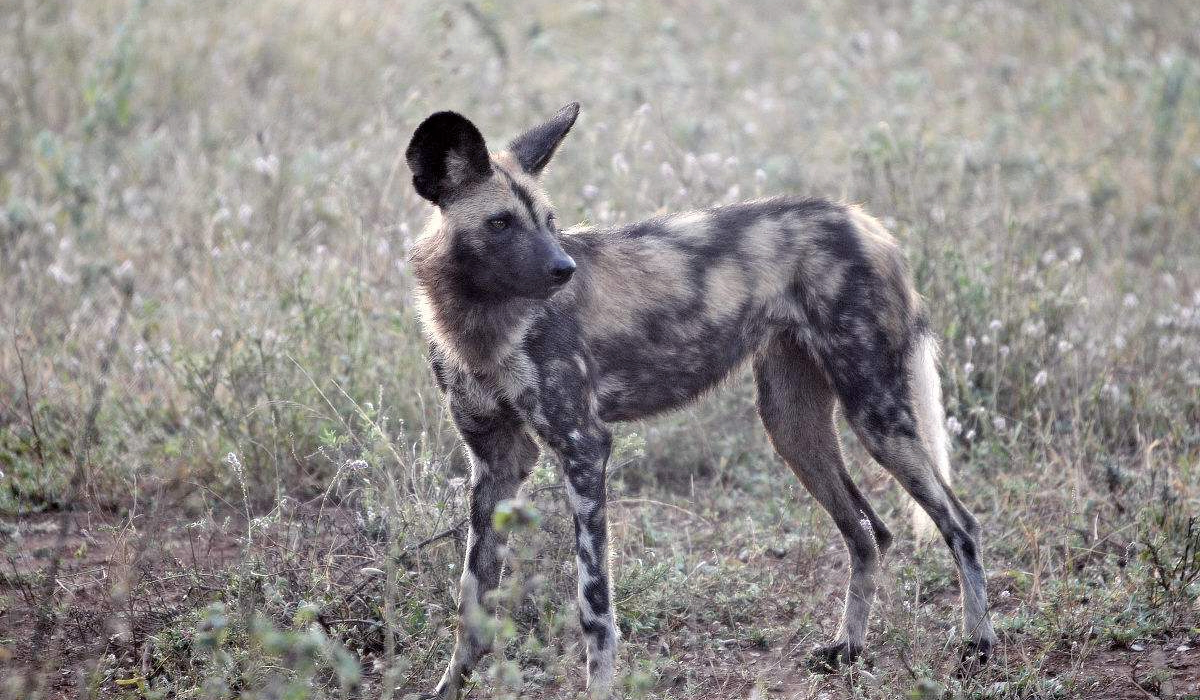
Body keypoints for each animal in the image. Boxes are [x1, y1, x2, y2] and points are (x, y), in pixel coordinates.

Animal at [408, 101, 998, 696]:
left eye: (550, 222)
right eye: (500, 223)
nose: (564, 269)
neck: (480, 327)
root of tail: (864, 220)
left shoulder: (583, 448)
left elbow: (594, 607)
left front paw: (599, 687)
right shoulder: (497, 462)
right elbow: (471, 602)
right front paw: (448, 687)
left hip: (875, 416)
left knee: (960, 525)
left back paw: (977, 647)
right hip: (792, 428)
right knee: (868, 534)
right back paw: (848, 649)